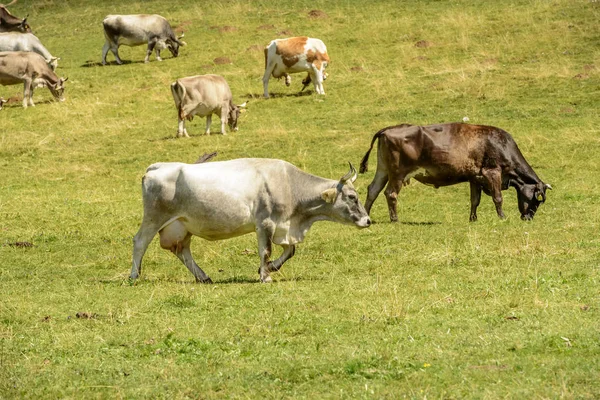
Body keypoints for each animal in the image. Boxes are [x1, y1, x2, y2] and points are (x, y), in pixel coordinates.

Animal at [130, 158, 370, 282]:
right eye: (352, 197)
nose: (368, 220)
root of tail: (157, 166)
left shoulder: (282, 226)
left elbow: (290, 250)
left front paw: (271, 268)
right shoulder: (265, 223)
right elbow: (266, 251)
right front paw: (265, 276)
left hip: (181, 226)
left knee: (183, 251)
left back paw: (203, 277)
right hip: (154, 218)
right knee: (140, 242)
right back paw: (134, 275)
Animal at [358, 122, 552, 222]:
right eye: (537, 199)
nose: (528, 218)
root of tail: (388, 129)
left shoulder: (475, 177)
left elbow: (475, 200)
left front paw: (473, 219)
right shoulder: (493, 172)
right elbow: (498, 198)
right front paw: (502, 217)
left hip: (383, 169)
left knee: (373, 190)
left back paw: (365, 215)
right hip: (398, 173)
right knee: (390, 193)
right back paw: (395, 219)